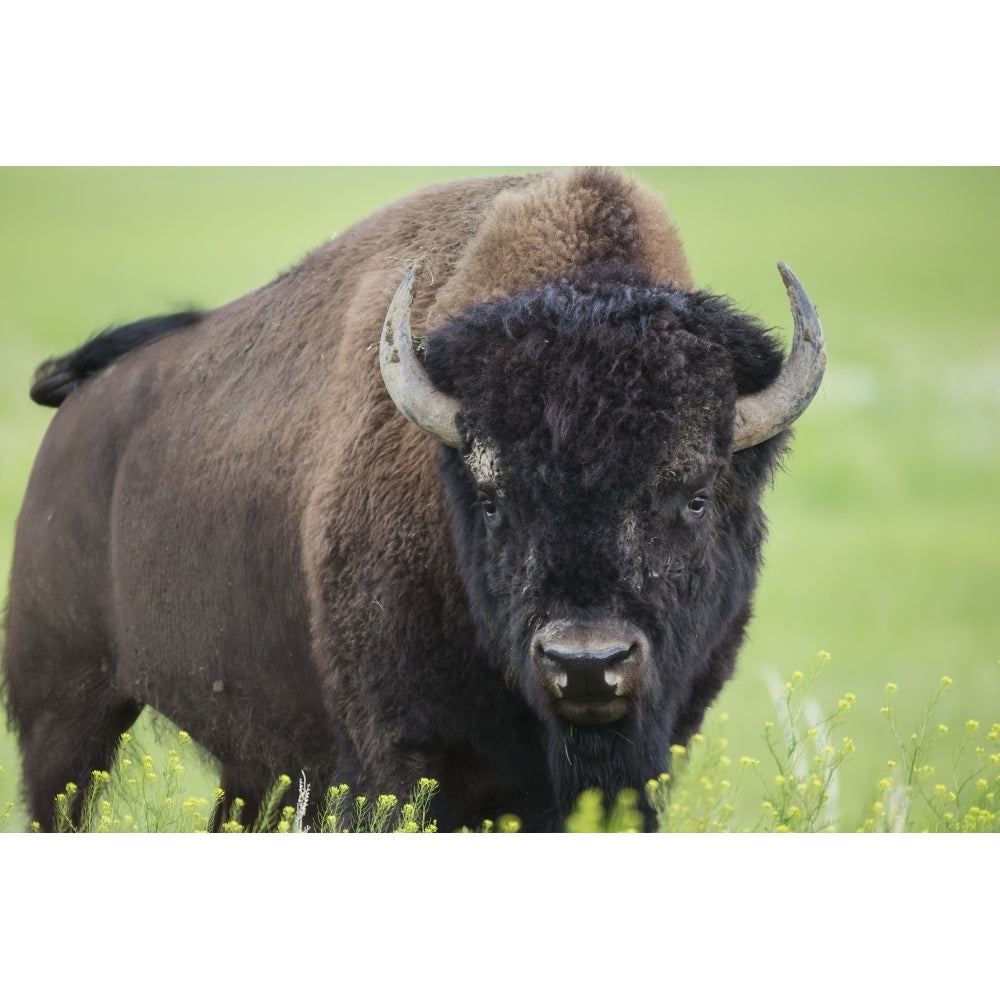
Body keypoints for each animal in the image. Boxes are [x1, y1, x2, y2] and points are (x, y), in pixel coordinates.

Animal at [0, 168, 824, 832]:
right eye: (491, 500)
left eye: (695, 496)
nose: (586, 664)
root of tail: (79, 406)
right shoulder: (398, 764)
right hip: (64, 709)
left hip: (248, 758)